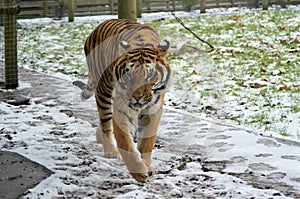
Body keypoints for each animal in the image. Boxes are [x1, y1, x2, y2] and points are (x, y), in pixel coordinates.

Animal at [73, 18, 173, 182]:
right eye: (129, 75)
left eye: (150, 75)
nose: (137, 97)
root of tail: (96, 28)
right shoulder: (123, 109)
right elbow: (125, 141)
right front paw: (138, 172)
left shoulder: (154, 109)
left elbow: (147, 143)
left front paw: (148, 167)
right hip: (104, 90)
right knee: (106, 123)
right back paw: (110, 151)